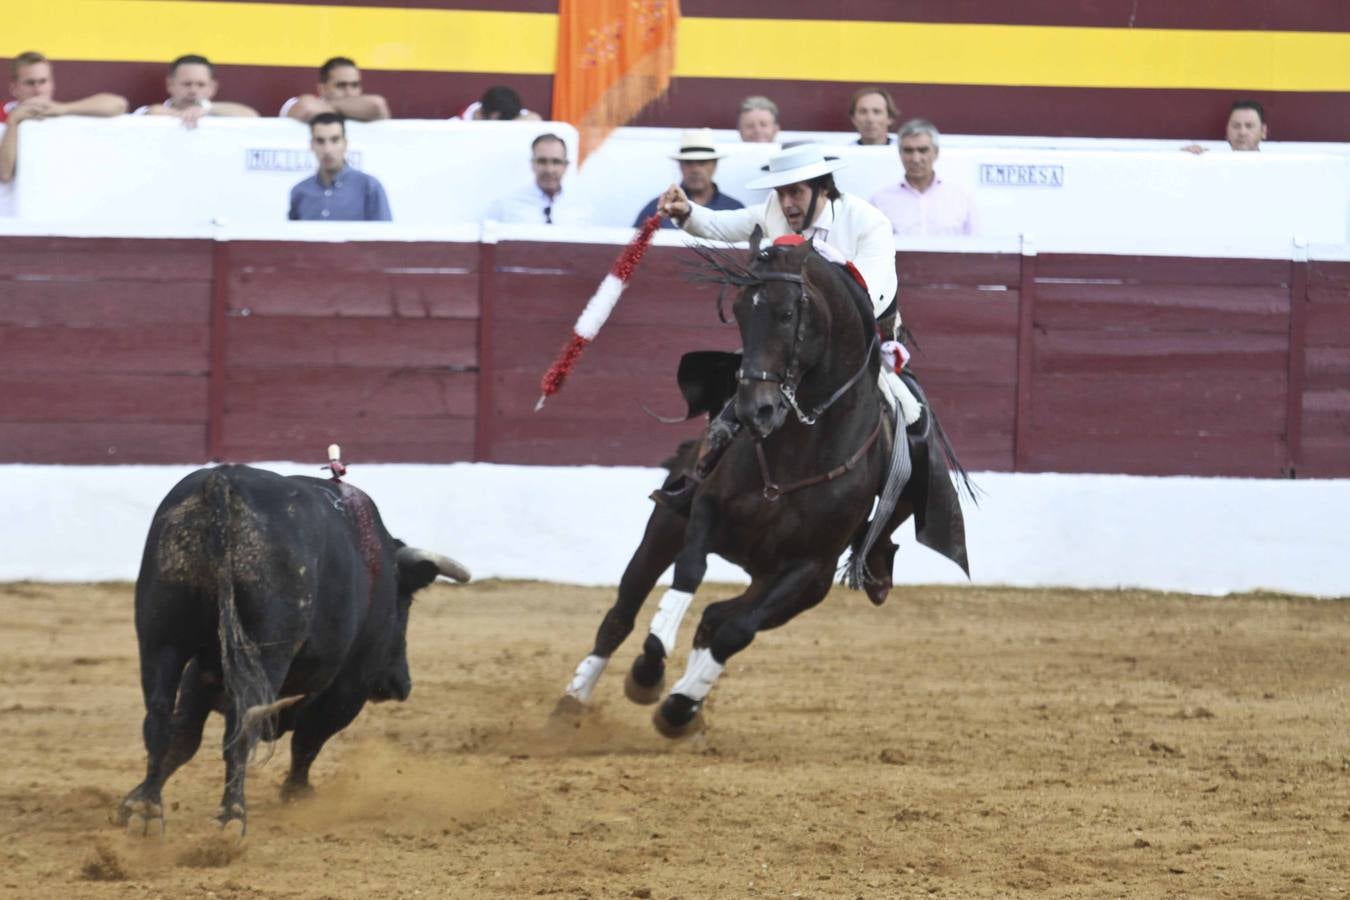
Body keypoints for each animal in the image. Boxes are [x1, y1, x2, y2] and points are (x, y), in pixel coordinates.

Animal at [117, 464, 475, 836]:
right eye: (406, 603)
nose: (400, 684)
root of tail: (224, 479)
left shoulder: (201, 672)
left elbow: (184, 737)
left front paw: (135, 799)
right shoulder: (349, 688)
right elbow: (309, 740)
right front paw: (297, 793)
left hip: (161, 640)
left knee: (159, 720)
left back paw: (147, 810)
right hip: (266, 654)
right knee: (243, 727)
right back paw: (232, 817)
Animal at [558, 230, 972, 739]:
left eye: (788, 314)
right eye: (738, 311)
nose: (757, 409)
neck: (799, 452)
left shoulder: (808, 570)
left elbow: (737, 631)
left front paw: (678, 707)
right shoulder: (705, 511)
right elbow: (689, 573)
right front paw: (649, 672)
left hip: (788, 585)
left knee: (719, 619)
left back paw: (687, 708)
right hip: (666, 524)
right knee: (624, 609)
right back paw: (573, 702)